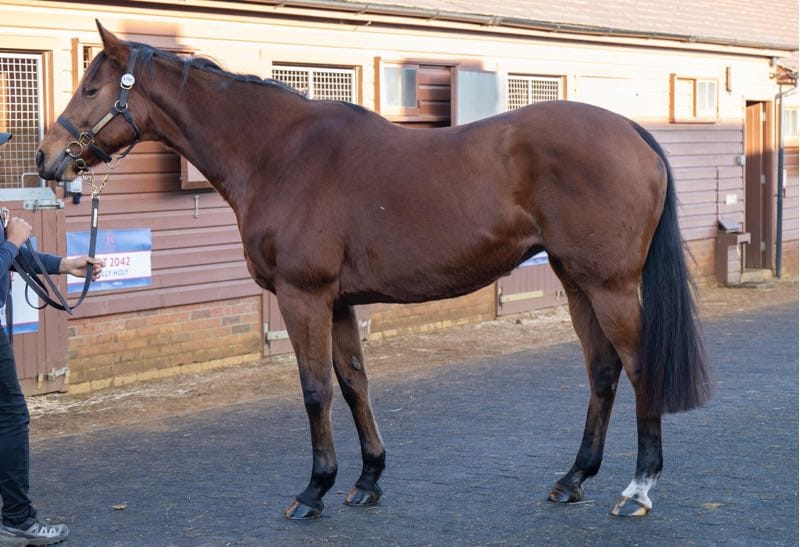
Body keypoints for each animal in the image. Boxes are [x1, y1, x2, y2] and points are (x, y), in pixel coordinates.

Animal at [37, 21, 712, 520]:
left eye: (91, 89)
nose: (48, 160)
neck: (279, 153)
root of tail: (631, 129)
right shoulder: (338, 302)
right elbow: (355, 383)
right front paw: (366, 480)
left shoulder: (303, 296)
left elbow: (315, 390)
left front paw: (314, 489)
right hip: (576, 282)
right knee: (602, 371)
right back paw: (573, 479)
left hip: (609, 285)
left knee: (637, 366)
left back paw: (637, 489)